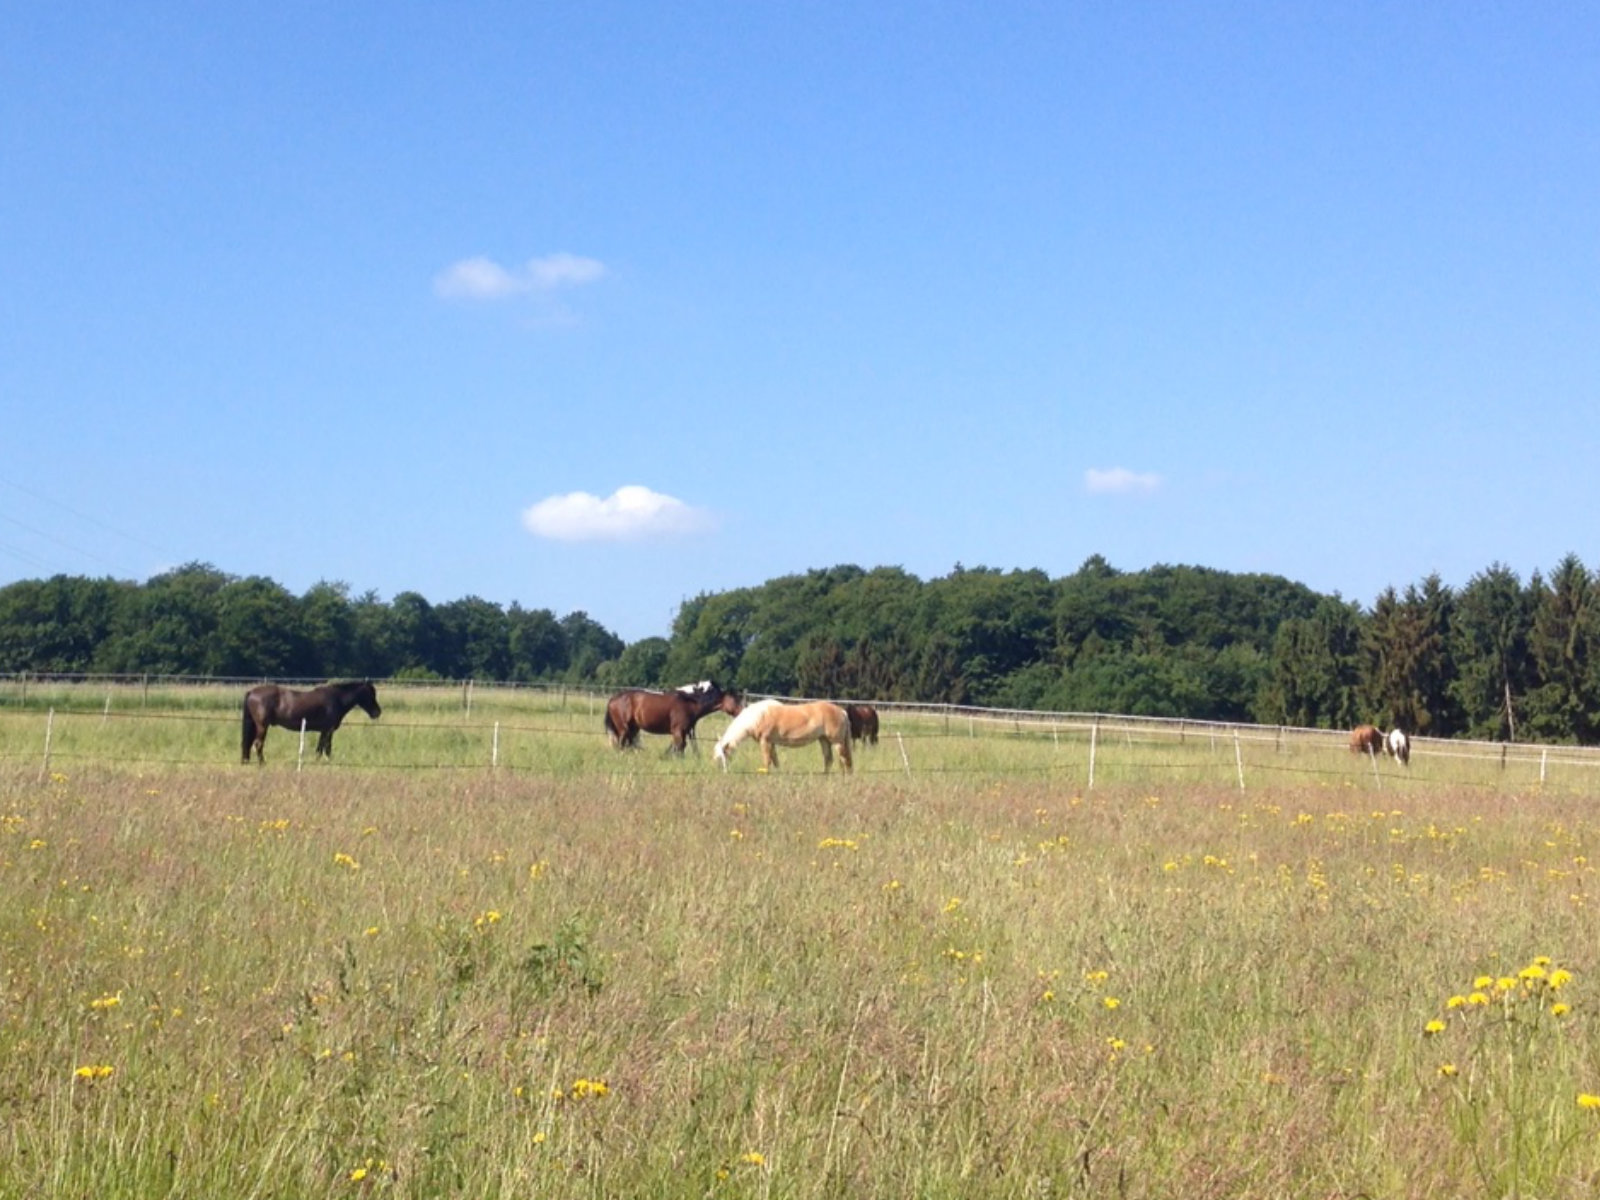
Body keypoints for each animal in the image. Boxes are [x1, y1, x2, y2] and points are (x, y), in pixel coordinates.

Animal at [241, 680, 381, 764]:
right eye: (370, 694)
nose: (377, 712)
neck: (337, 699)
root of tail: (252, 692)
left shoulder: (324, 731)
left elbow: (320, 748)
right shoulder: (328, 730)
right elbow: (326, 748)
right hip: (262, 726)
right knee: (258, 744)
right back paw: (262, 763)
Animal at [604, 681, 744, 753]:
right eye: (735, 699)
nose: (742, 712)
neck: (689, 702)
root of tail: (613, 699)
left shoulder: (685, 732)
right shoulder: (678, 732)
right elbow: (679, 749)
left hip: (633, 730)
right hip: (624, 729)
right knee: (621, 745)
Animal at [713, 699, 853, 774]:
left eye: (723, 755)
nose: (724, 772)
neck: (758, 717)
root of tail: (842, 711)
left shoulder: (765, 741)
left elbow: (767, 760)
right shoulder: (771, 743)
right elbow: (775, 761)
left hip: (837, 742)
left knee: (844, 759)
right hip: (824, 740)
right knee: (829, 759)